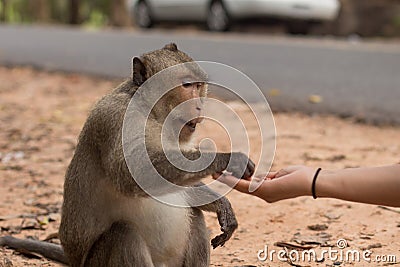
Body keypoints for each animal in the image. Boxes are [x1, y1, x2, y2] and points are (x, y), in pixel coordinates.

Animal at [0, 43, 256, 266]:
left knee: (194, 214)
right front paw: (225, 158)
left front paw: (220, 204)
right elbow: (130, 174)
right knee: (123, 234)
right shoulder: (118, 118)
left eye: (199, 85)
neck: (152, 113)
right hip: (96, 262)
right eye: (187, 86)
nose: (200, 105)